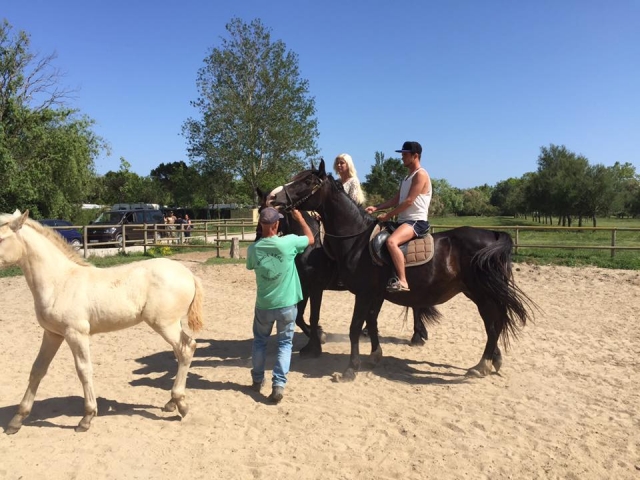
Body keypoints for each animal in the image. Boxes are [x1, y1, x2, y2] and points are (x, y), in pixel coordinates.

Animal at [0, 210, 204, 433]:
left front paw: (87, 417)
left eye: (0, 239)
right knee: (183, 350)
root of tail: (188, 274)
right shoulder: (52, 334)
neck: (60, 282)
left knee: (186, 349)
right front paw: (17, 419)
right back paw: (172, 403)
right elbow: (37, 369)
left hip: (165, 324)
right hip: (171, 325)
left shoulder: (76, 333)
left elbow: (84, 370)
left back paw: (180, 403)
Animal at [265, 160, 535, 381]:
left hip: (481, 293)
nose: (274, 196)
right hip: (481, 293)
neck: (356, 239)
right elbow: (370, 322)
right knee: (494, 322)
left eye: (307, 181)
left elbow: (351, 326)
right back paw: (491, 360)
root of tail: (493, 235)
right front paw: (374, 355)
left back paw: (480, 365)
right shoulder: (372, 293)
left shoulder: (354, 291)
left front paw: (348, 367)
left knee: (493, 325)